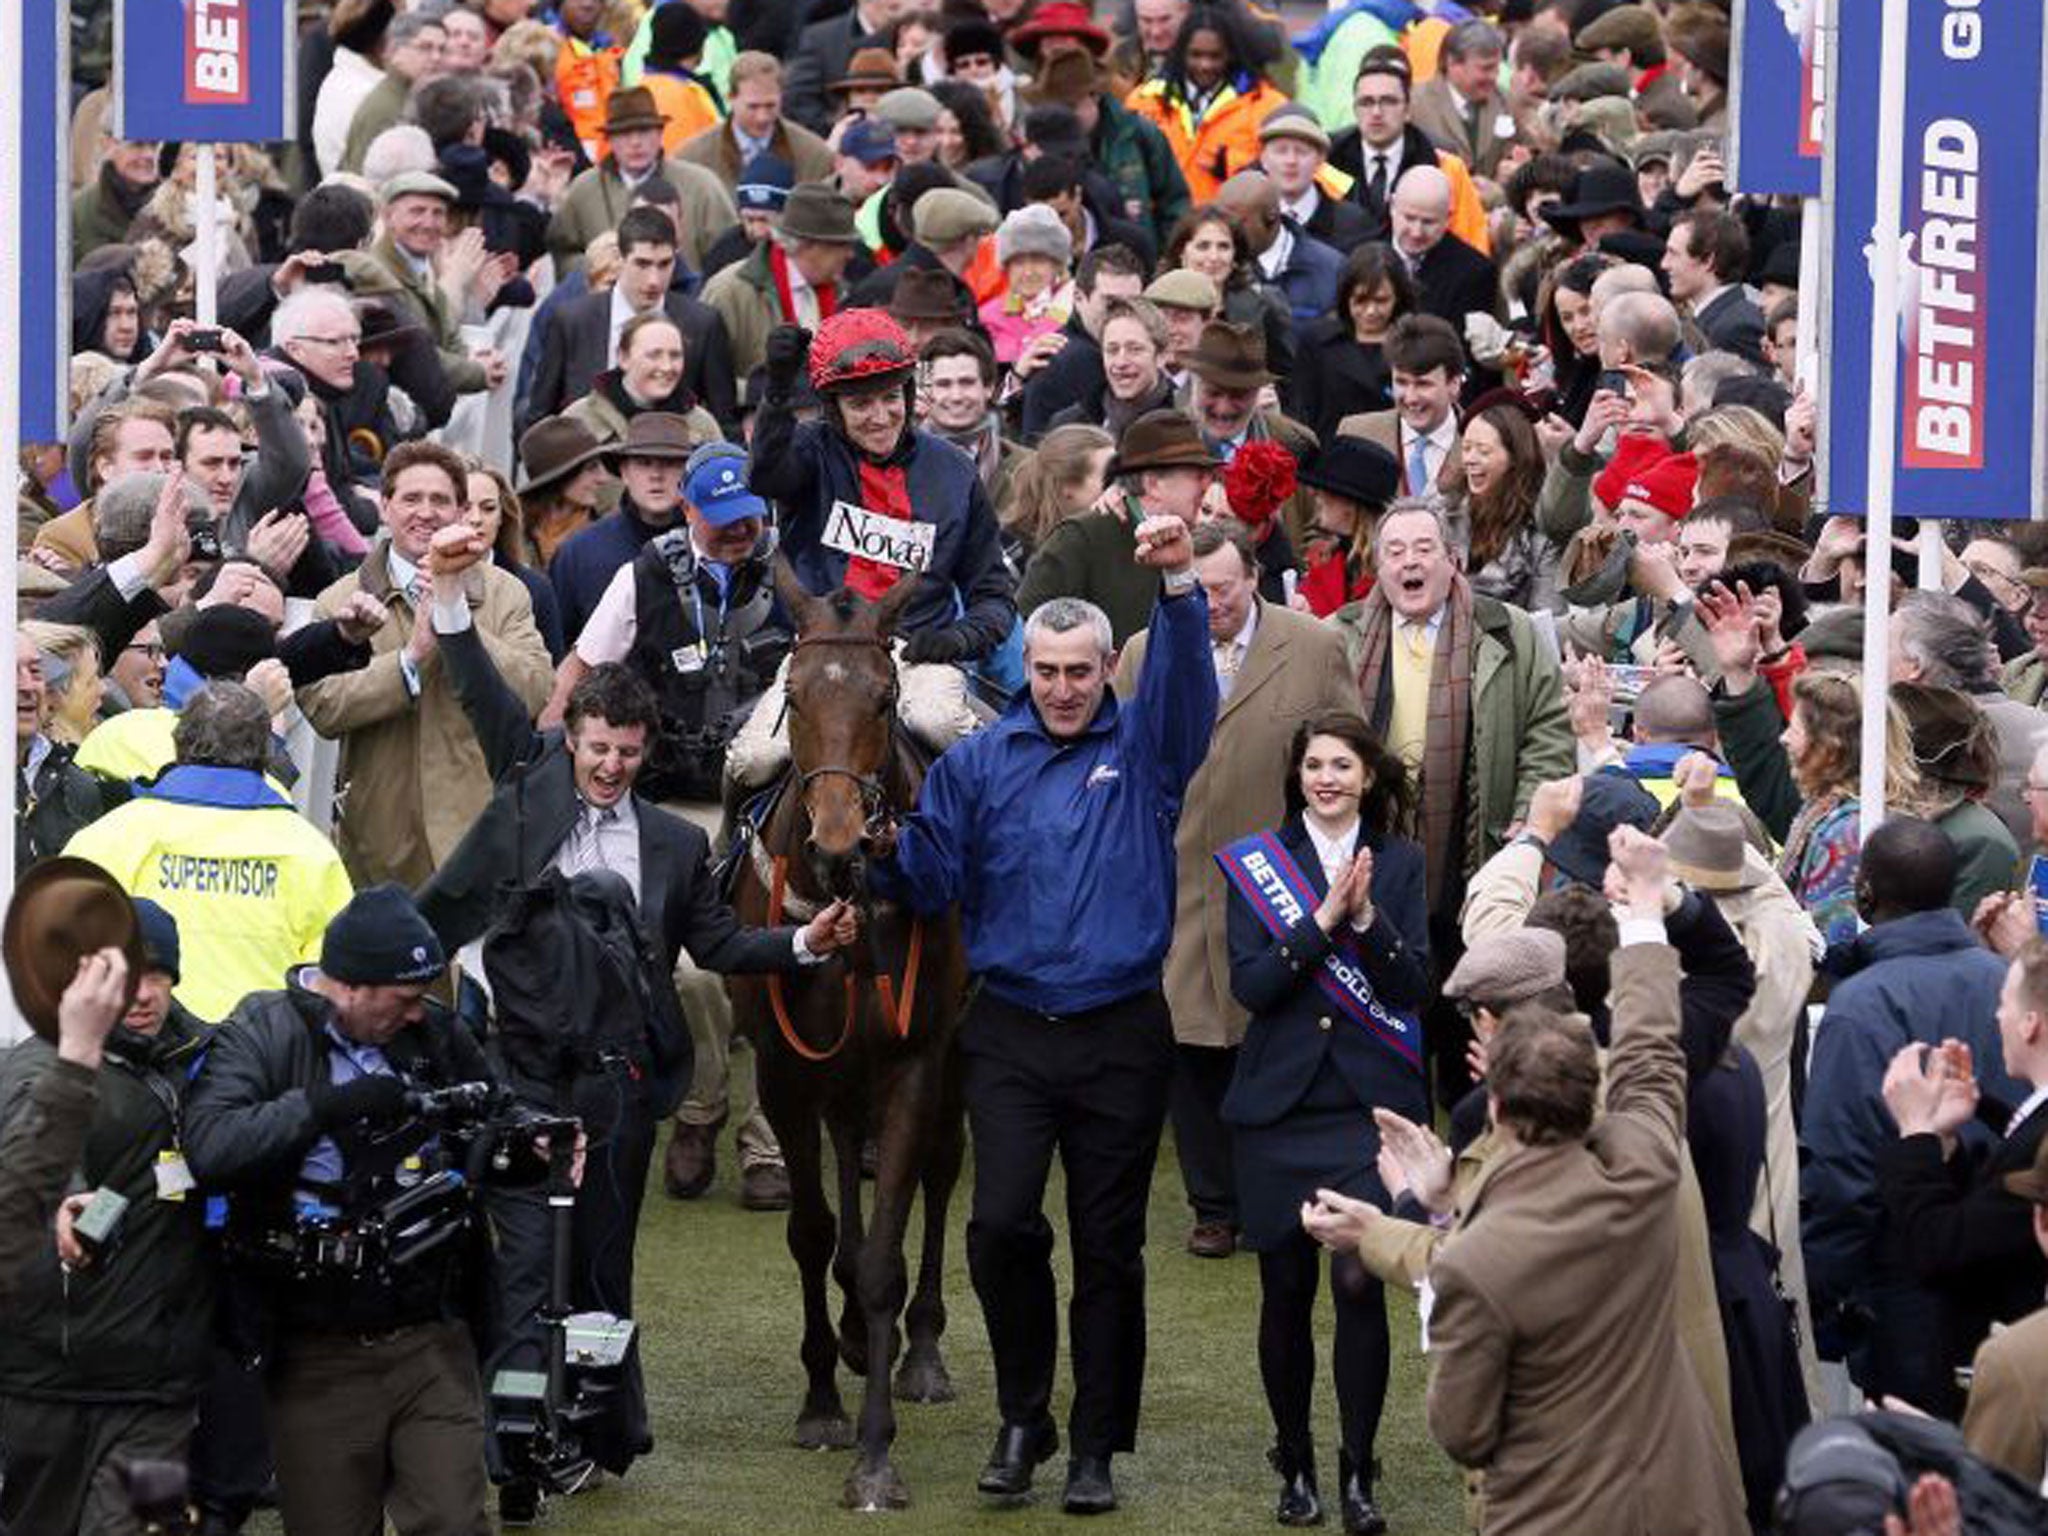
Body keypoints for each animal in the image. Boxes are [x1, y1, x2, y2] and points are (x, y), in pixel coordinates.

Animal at [729, 561, 966, 1507]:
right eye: (794, 694)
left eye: (885, 694)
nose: (837, 847)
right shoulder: (786, 1072)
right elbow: (813, 1230)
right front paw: (823, 1403)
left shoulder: (913, 1061)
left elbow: (883, 1262)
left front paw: (874, 1455)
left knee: (941, 1171)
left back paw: (920, 1349)